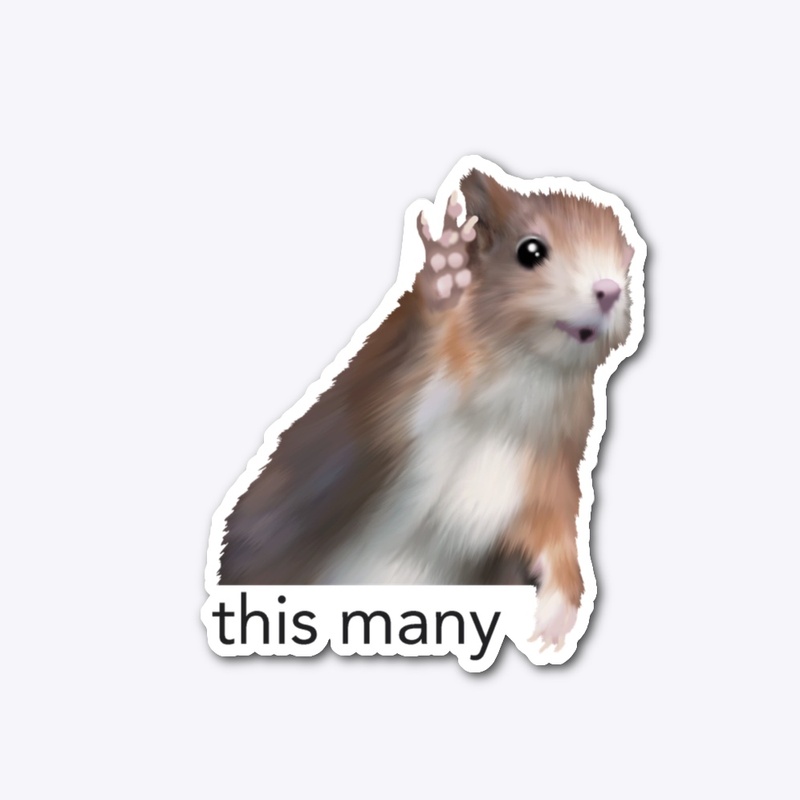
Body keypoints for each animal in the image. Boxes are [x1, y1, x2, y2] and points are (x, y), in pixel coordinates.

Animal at [214, 159, 642, 650]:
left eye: (626, 262)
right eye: (530, 251)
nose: (609, 290)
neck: (519, 381)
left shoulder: (548, 469)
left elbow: (554, 535)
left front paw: (557, 615)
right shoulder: (353, 436)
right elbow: (384, 415)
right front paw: (443, 271)